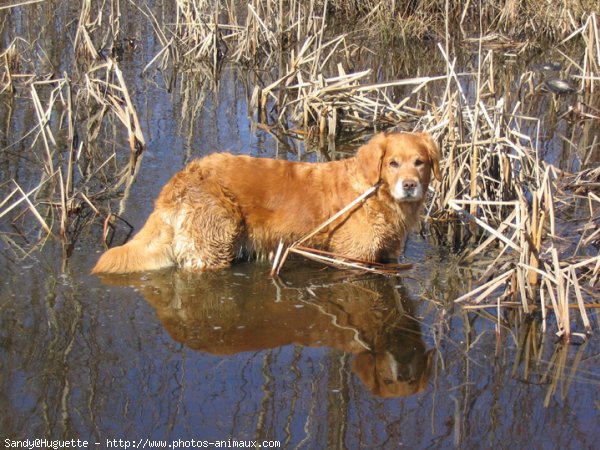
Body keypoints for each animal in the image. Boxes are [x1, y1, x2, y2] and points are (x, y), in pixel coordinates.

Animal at [92, 131, 440, 274]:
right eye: (393, 163)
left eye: (419, 162)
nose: (409, 185)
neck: (373, 193)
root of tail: (179, 178)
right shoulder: (354, 257)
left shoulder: (387, 256)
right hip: (215, 243)